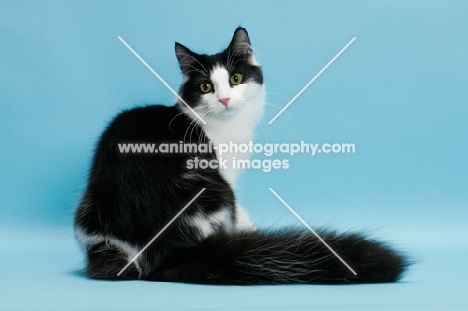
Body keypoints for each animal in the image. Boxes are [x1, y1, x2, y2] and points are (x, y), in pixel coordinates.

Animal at [74, 27, 410, 286]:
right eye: (206, 86)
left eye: (235, 79)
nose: (224, 99)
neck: (225, 126)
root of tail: (164, 248)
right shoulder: (227, 175)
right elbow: (241, 211)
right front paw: (249, 227)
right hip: (215, 190)